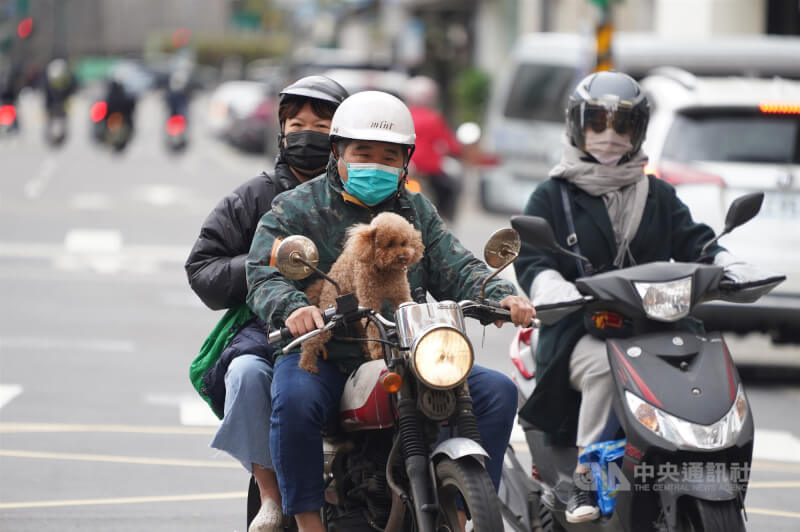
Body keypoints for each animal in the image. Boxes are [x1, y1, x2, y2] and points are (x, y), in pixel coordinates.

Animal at [300, 212, 424, 374]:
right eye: (389, 244)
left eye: (404, 243)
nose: (403, 257)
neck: (384, 271)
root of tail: (324, 284)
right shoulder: (369, 299)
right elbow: (373, 328)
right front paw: (378, 352)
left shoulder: (400, 294)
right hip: (329, 311)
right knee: (314, 339)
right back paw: (306, 364)